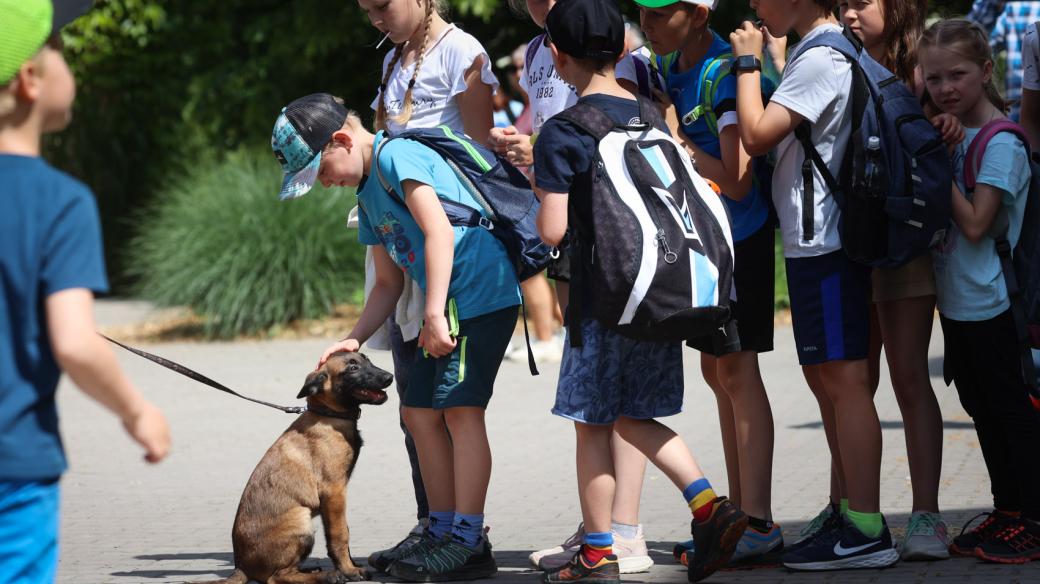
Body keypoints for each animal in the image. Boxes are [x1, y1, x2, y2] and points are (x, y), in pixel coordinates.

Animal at [197, 349, 391, 581]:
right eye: (352, 368)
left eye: (368, 360)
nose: (390, 377)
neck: (328, 414)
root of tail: (241, 565)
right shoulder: (334, 491)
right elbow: (340, 534)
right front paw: (349, 570)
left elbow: (344, 530)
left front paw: (349, 564)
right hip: (301, 520)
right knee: (276, 577)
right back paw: (327, 576)